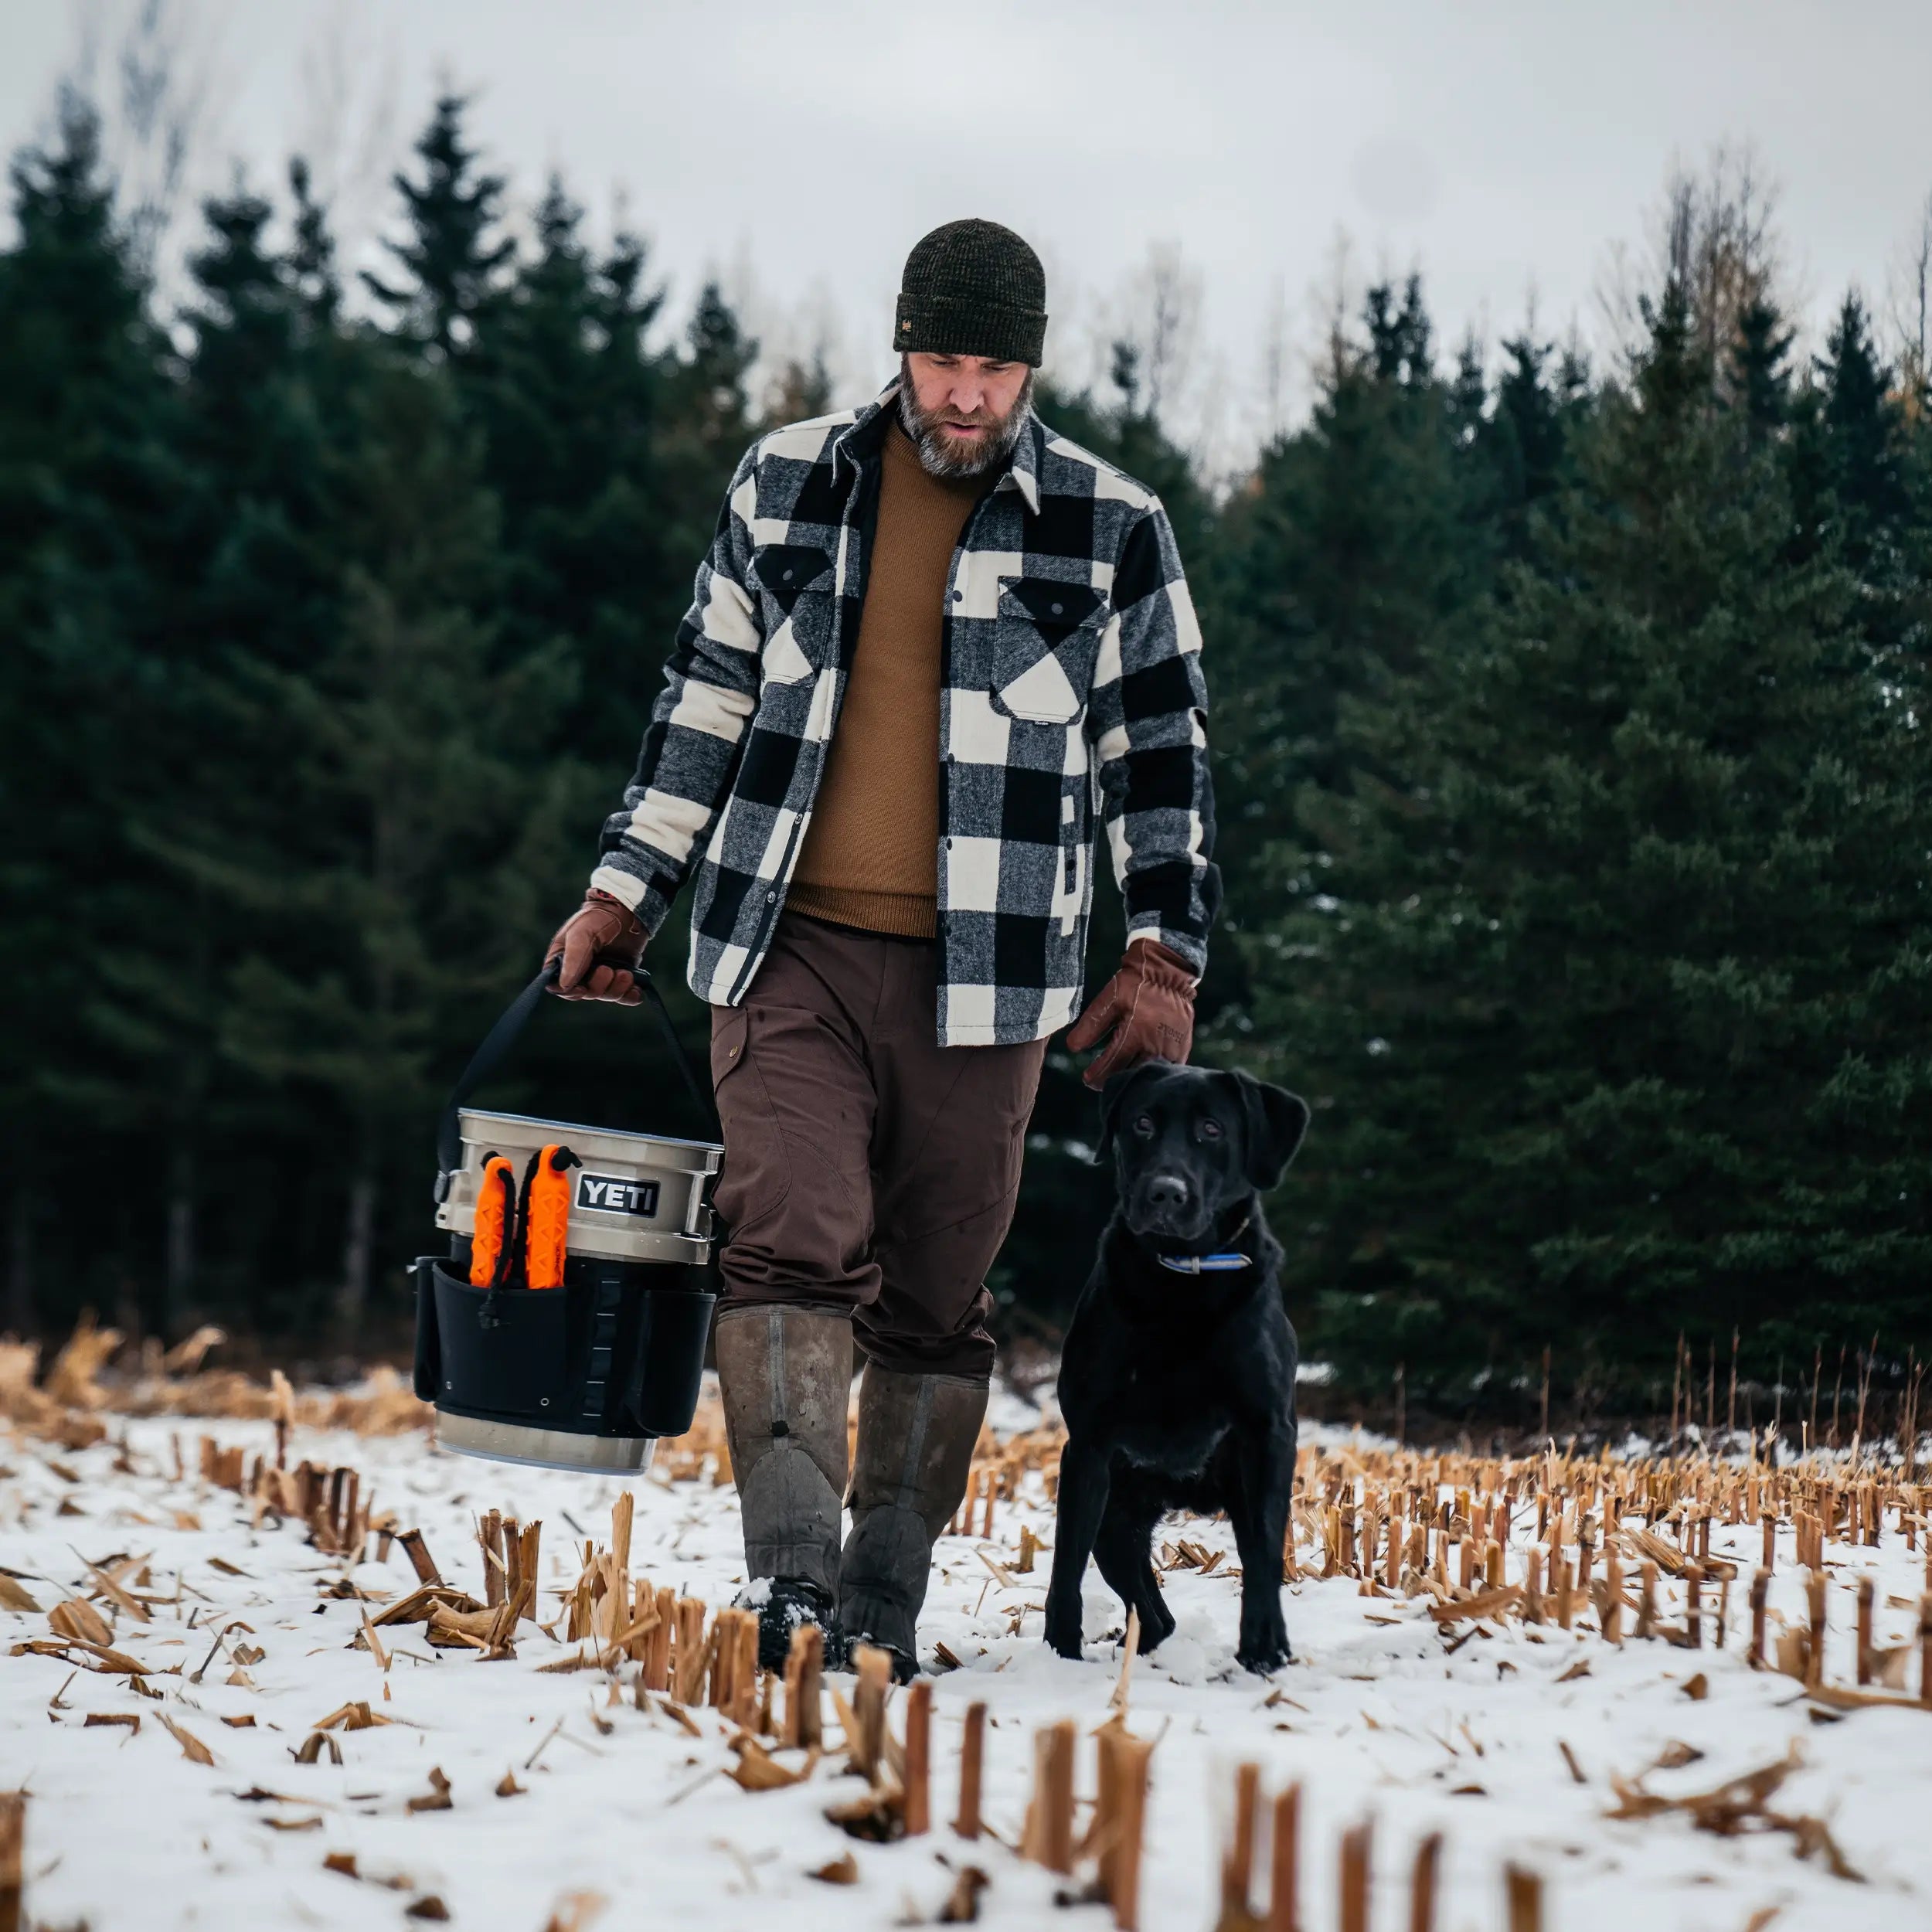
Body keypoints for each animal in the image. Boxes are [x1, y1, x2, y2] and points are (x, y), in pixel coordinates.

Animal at [1051, 1059, 1306, 1677]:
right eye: (1142, 1123)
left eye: (1212, 1130)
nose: (1165, 1193)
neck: (1181, 1283)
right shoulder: (1088, 1446)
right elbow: (1065, 1567)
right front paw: (1059, 1654)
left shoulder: (1267, 1434)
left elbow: (1265, 1552)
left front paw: (1264, 1648)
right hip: (1117, 1521)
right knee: (1153, 1613)